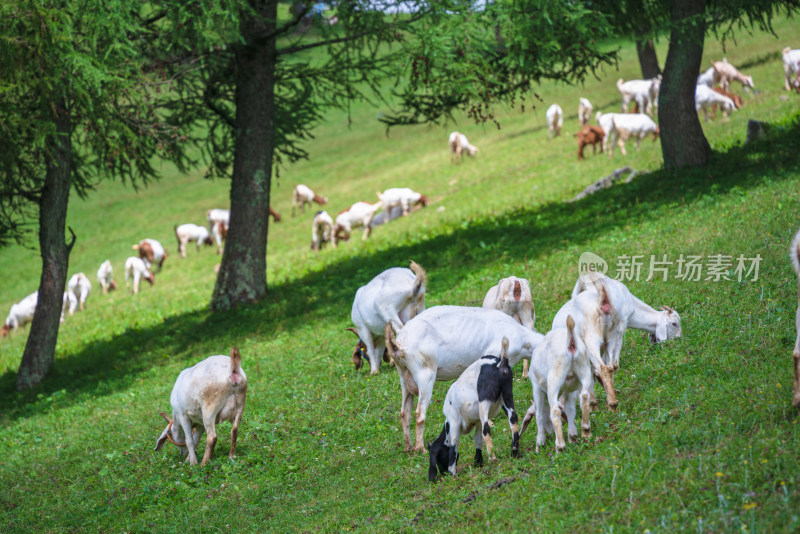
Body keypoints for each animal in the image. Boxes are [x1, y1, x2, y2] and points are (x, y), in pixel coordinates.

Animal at [382, 308, 544, 454]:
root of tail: (399, 343)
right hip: (425, 374)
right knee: (419, 414)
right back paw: (420, 448)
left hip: (403, 374)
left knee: (405, 413)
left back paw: (409, 447)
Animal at [428, 342, 520, 484]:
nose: (443, 473)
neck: (447, 422)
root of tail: (500, 362)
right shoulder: (477, 421)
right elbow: (477, 439)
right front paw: (478, 463)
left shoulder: (454, 422)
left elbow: (454, 446)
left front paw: (453, 473)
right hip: (507, 394)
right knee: (513, 421)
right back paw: (514, 452)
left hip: (484, 400)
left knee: (487, 429)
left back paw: (493, 457)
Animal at [520, 316, 592, 454]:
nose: (549, 433)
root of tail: (570, 340)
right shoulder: (570, 390)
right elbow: (570, 409)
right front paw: (572, 435)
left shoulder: (536, 388)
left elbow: (539, 415)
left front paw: (540, 442)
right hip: (584, 369)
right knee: (585, 395)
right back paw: (586, 429)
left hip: (554, 380)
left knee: (555, 410)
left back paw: (560, 446)